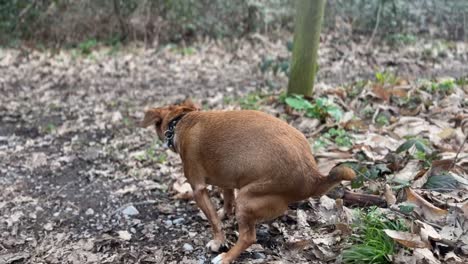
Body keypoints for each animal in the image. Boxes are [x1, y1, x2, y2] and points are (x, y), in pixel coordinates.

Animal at [142, 100, 354, 262]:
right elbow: (227, 199)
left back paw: (226, 257)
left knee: (248, 237)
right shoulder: (226, 178)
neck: (182, 121)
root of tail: (313, 177)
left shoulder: (198, 189)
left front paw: (218, 241)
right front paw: (225, 213)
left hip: (246, 199)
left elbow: (214, 221)